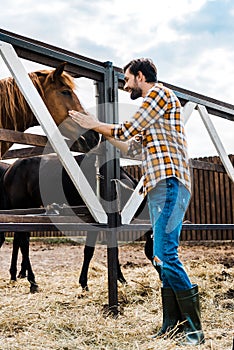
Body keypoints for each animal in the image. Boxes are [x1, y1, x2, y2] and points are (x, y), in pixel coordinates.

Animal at [0, 153, 154, 292]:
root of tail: (9, 170)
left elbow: (113, 250)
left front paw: (121, 279)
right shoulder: (94, 221)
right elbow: (89, 251)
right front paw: (84, 283)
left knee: (21, 241)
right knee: (23, 243)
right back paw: (32, 281)